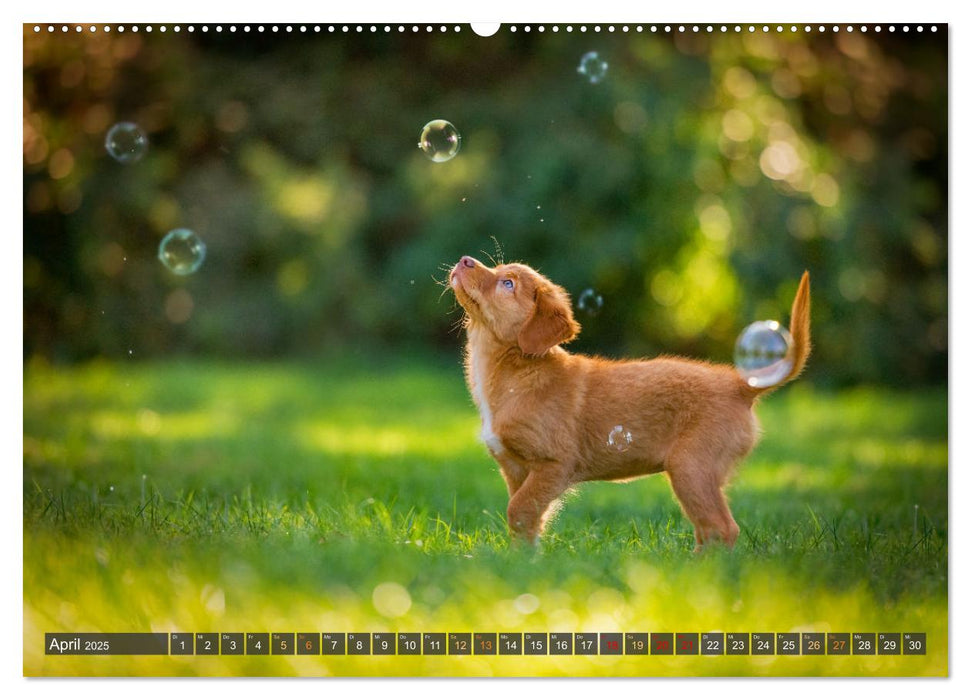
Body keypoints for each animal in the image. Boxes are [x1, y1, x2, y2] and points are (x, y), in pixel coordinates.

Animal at [452, 254, 808, 548]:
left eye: (507, 283)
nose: (464, 259)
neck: (512, 371)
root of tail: (739, 383)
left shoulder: (555, 464)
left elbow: (518, 510)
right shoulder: (515, 470)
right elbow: (524, 523)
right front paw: (522, 561)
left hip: (691, 467)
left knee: (722, 528)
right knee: (710, 530)